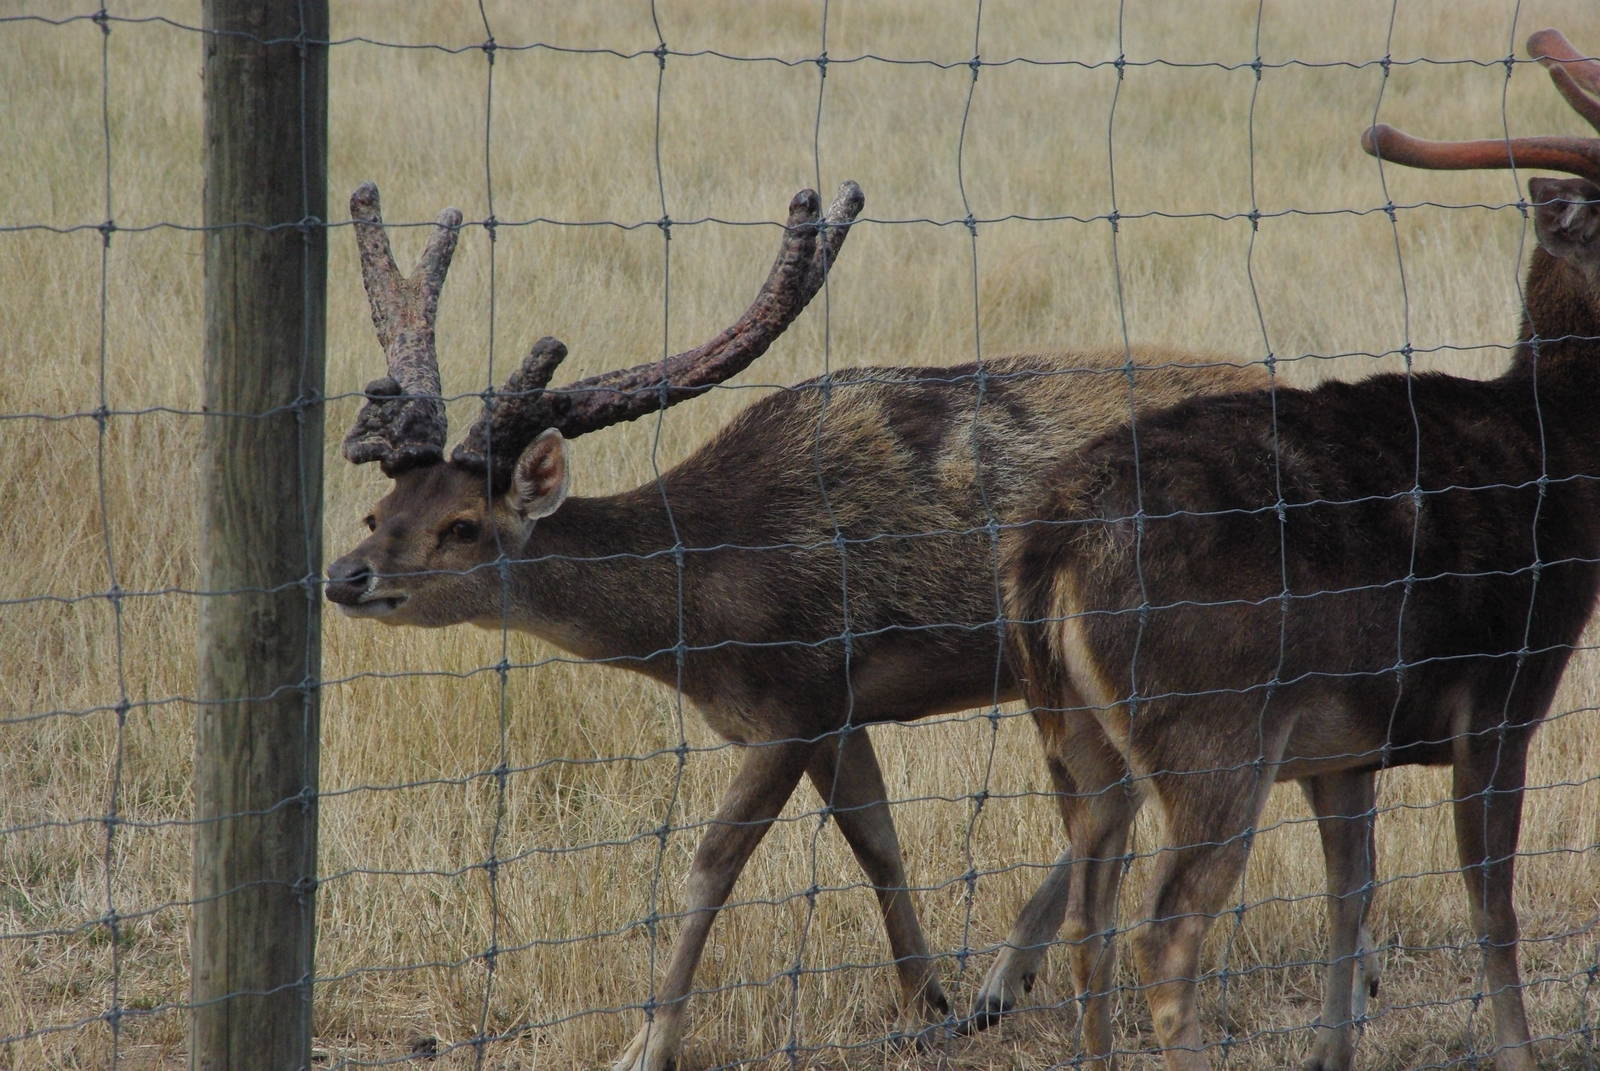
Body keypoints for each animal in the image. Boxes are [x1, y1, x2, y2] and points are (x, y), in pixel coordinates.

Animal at [322, 177, 1267, 1071]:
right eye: (378, 510)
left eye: (462, 525)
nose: (344, 575)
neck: (703, 610)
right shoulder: (836, 710)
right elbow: (876, 842)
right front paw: (925, 1003)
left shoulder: (795, 695)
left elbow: (710, 864)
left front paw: (646, 1044)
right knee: (1122, 789)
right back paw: (999, 983)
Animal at [996, 26, 1600, 1071]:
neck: (1565, 447)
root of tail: (1053, 548)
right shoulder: (1503, 691)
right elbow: (1493, 907)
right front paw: (1520, 1052)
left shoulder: (1345, 747)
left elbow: (1349, 901)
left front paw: (1333, 1052)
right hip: (1212, 725)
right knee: (1167, 929)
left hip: (1074, 735)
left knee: (1088, 916)